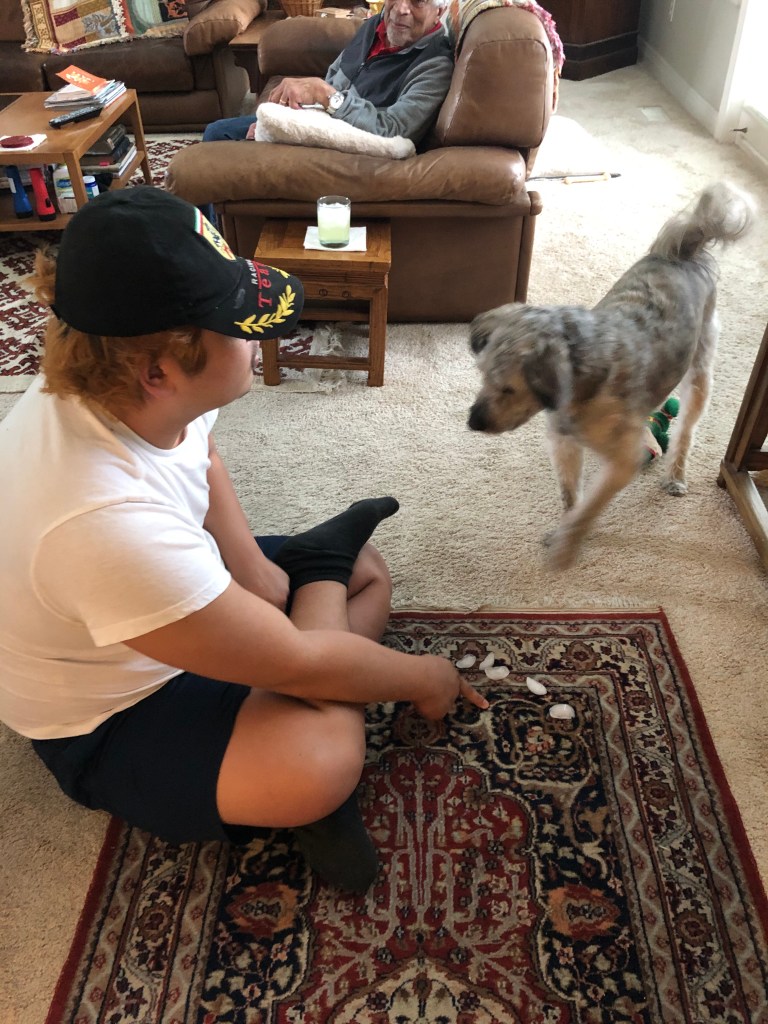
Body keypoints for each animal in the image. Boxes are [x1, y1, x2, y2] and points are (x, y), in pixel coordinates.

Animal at [467, 181, 754, 570]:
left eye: (509, 388)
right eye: (482, 374)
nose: (472, 422)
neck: (582, 385)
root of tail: (682, 252)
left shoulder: (621, 461)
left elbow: (589, 508)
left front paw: (567, 545)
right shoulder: (564, 444)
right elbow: (571, 496)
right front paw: (564, 527)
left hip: (700, 372)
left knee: (685, 432)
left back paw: (676, 475)